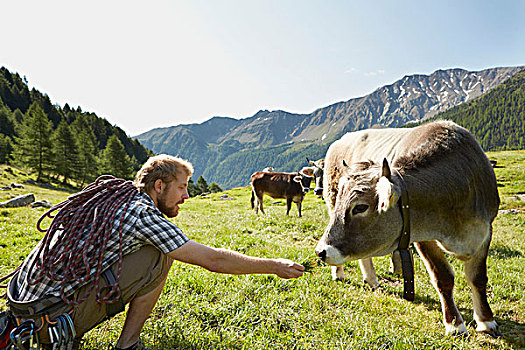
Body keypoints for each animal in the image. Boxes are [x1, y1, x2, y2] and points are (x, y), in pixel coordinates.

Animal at [316, 120, 500, 336]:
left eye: (360, 207)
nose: (321, 251)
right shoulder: (422, 237)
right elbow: (443, 277)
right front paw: (455, 324)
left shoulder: (485, 231)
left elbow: (478, 278)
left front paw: (486, 321)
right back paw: (339, 273)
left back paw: (371, 279)